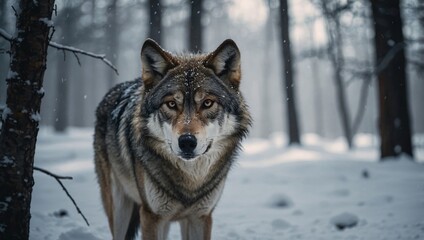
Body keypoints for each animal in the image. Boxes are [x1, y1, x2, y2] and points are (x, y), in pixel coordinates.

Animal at [93, 38, 252, 239]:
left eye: (207, 103)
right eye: (171, 104)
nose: (187, 142)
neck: (190, 182)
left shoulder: (201, 217)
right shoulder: (151, 216)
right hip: (120, 209)